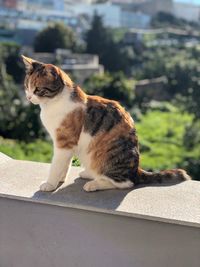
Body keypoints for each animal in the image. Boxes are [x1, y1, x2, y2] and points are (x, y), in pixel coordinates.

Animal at [21, 55, 191, 192]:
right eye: (26, 86)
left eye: (38, 89)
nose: (28, 97)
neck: (54, 103)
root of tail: (136, 170)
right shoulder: (66, 146)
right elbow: (65, 165)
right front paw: (60, 180)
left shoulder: (64, 143)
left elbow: (56, 165)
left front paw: (50, 184)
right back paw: (88, 174)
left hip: (105, 157)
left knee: (125, 183)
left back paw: (94, 184)